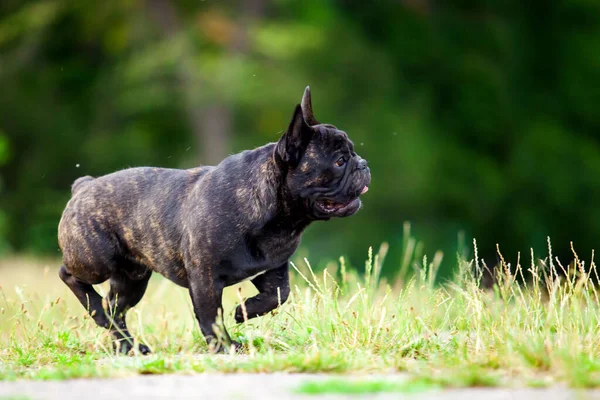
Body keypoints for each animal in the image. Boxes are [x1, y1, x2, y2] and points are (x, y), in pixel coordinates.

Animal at [58, 87, 372, 354]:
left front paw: (244, 311)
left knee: (115, 308)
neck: (277, 213)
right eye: (340, 161)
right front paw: (224, 346)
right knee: (70, 276)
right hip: (96, 260)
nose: (364, 164)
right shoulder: (205, 277)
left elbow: (279, 294)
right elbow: (211, 316)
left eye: (353, 153)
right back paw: (98, 311)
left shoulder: (273, 268)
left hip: (132, 278)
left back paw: (126, 345)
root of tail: (84, 186)